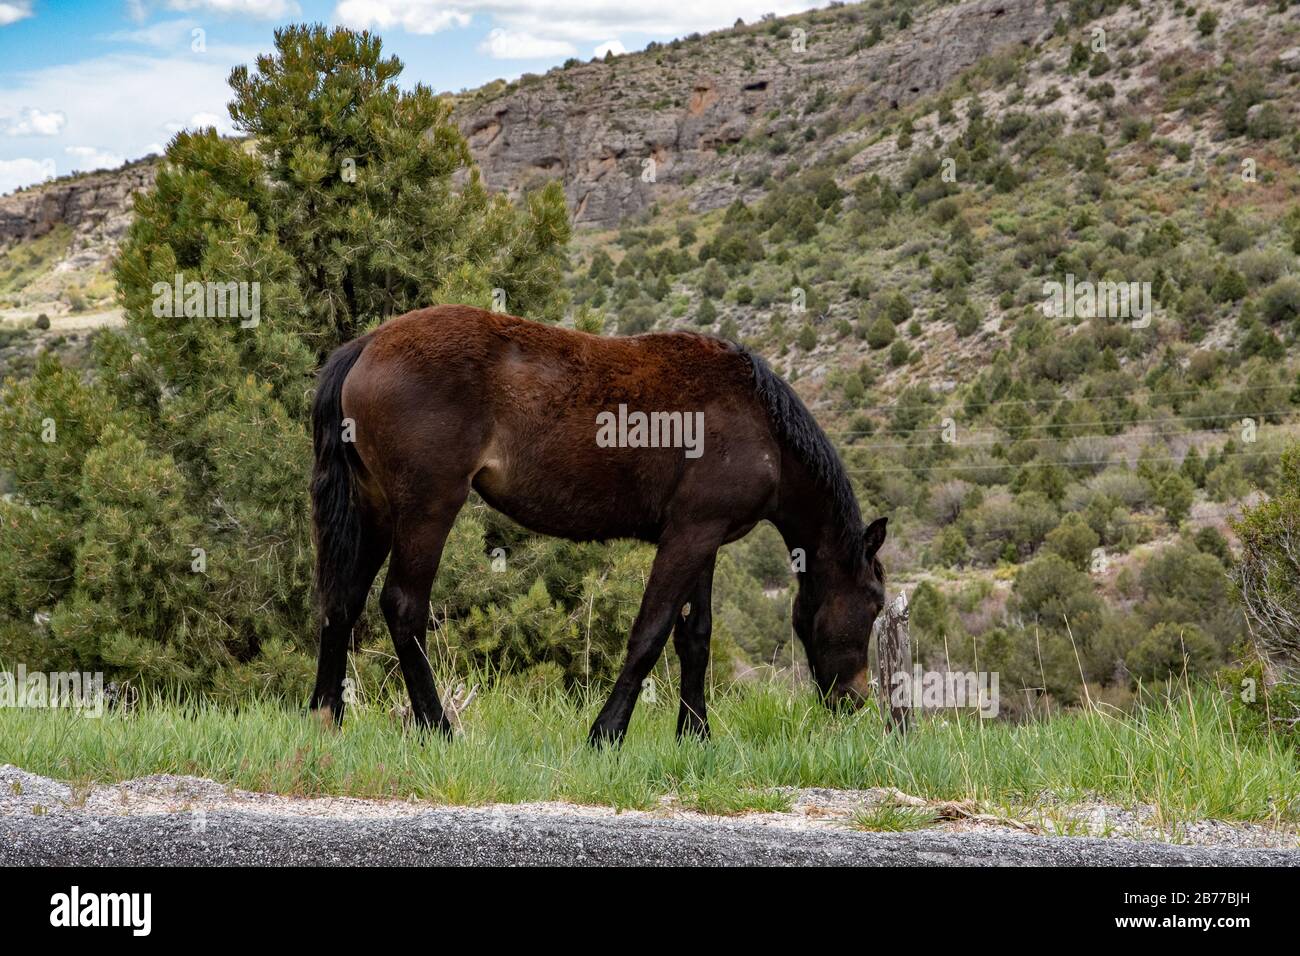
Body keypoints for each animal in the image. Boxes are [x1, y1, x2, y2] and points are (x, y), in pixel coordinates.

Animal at [309, 303, 889, 743]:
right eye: (874, 604)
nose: (857, 699)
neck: (759, 422)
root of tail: (369, 344)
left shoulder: (704, 538)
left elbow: (694, 637)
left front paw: (695, 735)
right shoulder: (689, 537)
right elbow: (650, 634)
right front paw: (607, 733)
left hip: (376, 507)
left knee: (343, 601)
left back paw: (325, 716)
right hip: (428, 506)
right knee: (402, 607)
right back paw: (438, 729)